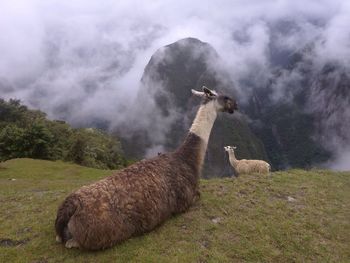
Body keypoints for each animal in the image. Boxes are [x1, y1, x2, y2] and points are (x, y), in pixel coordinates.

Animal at [55, 87, 238, 252]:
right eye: (226, 97)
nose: (235, 105)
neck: (187, 159)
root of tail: (71, 206)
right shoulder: (187, 199)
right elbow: (198, 195)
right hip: (101, 233)